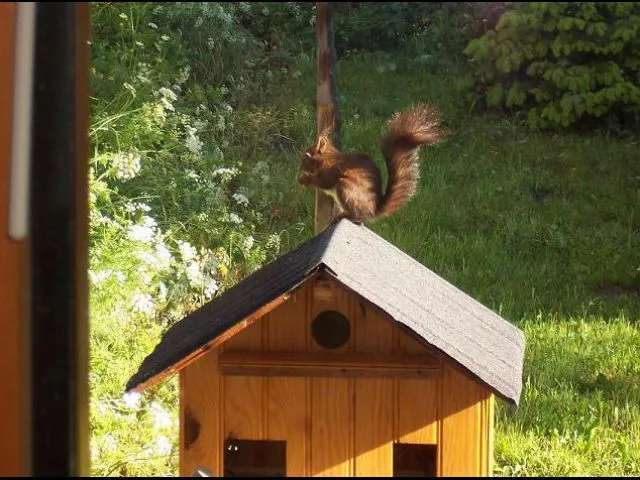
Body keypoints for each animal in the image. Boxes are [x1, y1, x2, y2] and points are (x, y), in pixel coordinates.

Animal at [298, 104, 446, 224]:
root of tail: (373, 212)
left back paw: (346, 216)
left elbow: (325, 181)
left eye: (306, 157)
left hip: (346, 188)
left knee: (359, 216)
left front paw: (305, 179)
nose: (300, 167)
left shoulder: (331, 169)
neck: (327, 157)